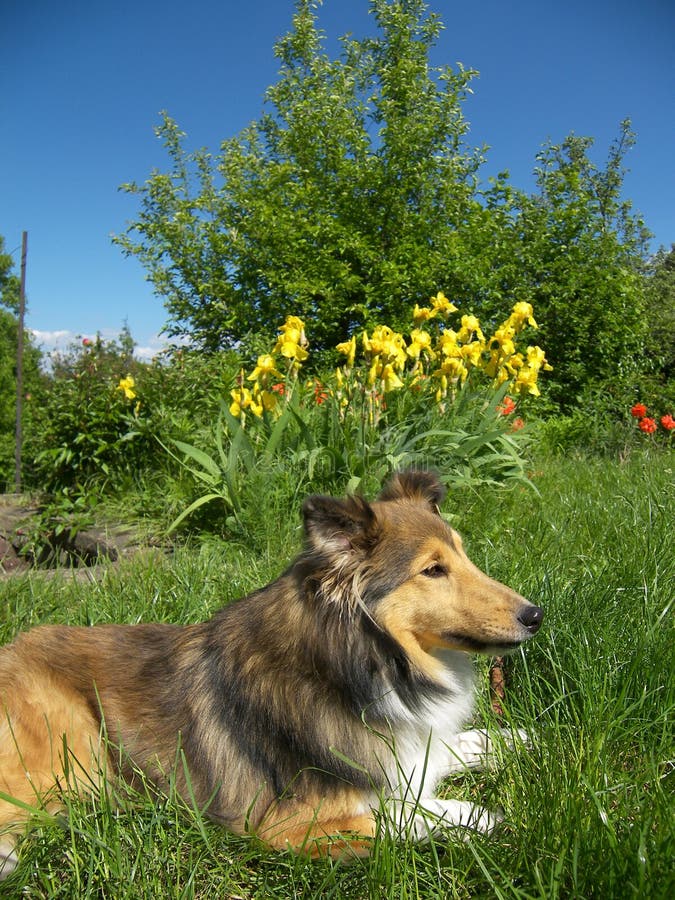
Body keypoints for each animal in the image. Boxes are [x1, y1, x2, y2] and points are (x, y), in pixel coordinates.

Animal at [0, 472, 544, 880]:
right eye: (433, 570)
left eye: (463, 554)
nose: (535, 615)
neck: (355, 669)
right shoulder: (289, 825)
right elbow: (405, 812)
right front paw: (486, 818)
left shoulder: (407, 749)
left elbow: (459, 744)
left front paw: (524, 740)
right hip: (72, 748)